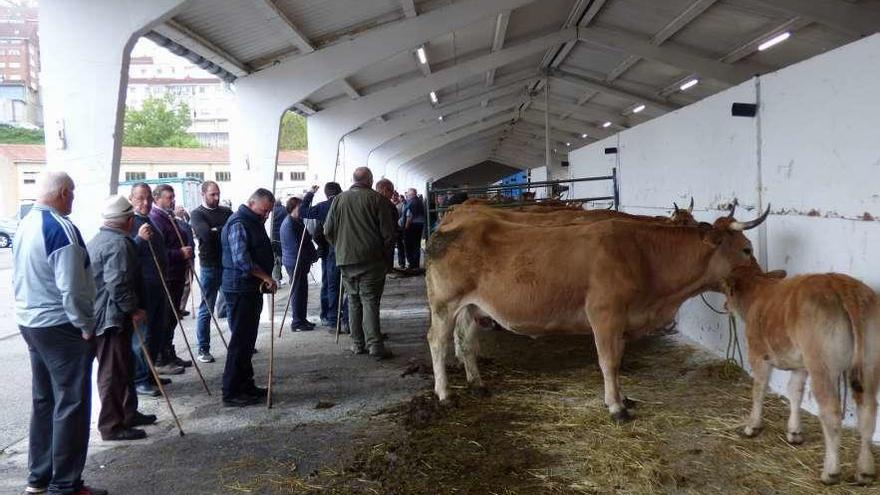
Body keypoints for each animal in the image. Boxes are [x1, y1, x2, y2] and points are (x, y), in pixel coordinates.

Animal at [426, 207, 768, 420]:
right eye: (747, 249)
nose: (762, 279)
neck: (644, 257)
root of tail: (448, 225)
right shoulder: (605, 315)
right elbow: (609, 361)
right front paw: (616, 408)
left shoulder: (622, 321)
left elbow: (617, 360)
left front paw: (624, 397)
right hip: (444, 304)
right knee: (437, 342)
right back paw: (444, 395)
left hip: (471, 306)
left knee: (466, 342)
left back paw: (478, 385)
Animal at [720, 266, 880, 486]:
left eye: (727, 291)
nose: (725, 305)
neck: (758, 292)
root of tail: (842, 285)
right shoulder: (800, 364)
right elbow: (794, 391)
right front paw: (794, 432)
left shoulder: (758, 354)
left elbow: (759, 390)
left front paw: (752, 426)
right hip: (869, 363)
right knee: (868, 410)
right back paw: (865, 471)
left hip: (822, 366)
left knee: (831, 413)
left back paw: (830, 472)